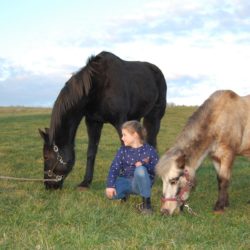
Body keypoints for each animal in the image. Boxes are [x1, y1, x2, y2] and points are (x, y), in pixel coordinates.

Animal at [38, 51, 166, 190]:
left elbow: (125, 150)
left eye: (46, 156)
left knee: (152, 142)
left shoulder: (120, 121)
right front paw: (85, 182)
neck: (98, 87)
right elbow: (91, 152)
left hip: (154, 117)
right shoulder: (93, 122)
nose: (48, 185)